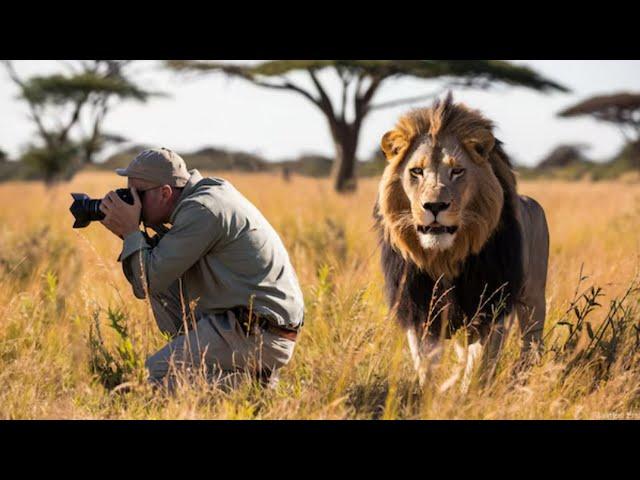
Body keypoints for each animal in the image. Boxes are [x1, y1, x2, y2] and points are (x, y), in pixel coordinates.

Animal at [376, 94, 552, 390]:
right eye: (416, 171)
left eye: (457, 171)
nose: (435, 205)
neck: (444, 258)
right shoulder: (420, 311)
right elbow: (426, 366)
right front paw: (432, 395)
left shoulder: (490, 310)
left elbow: (478, 366)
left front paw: (466, 395)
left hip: (533, 299)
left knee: (531, 345)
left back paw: (521, 380)